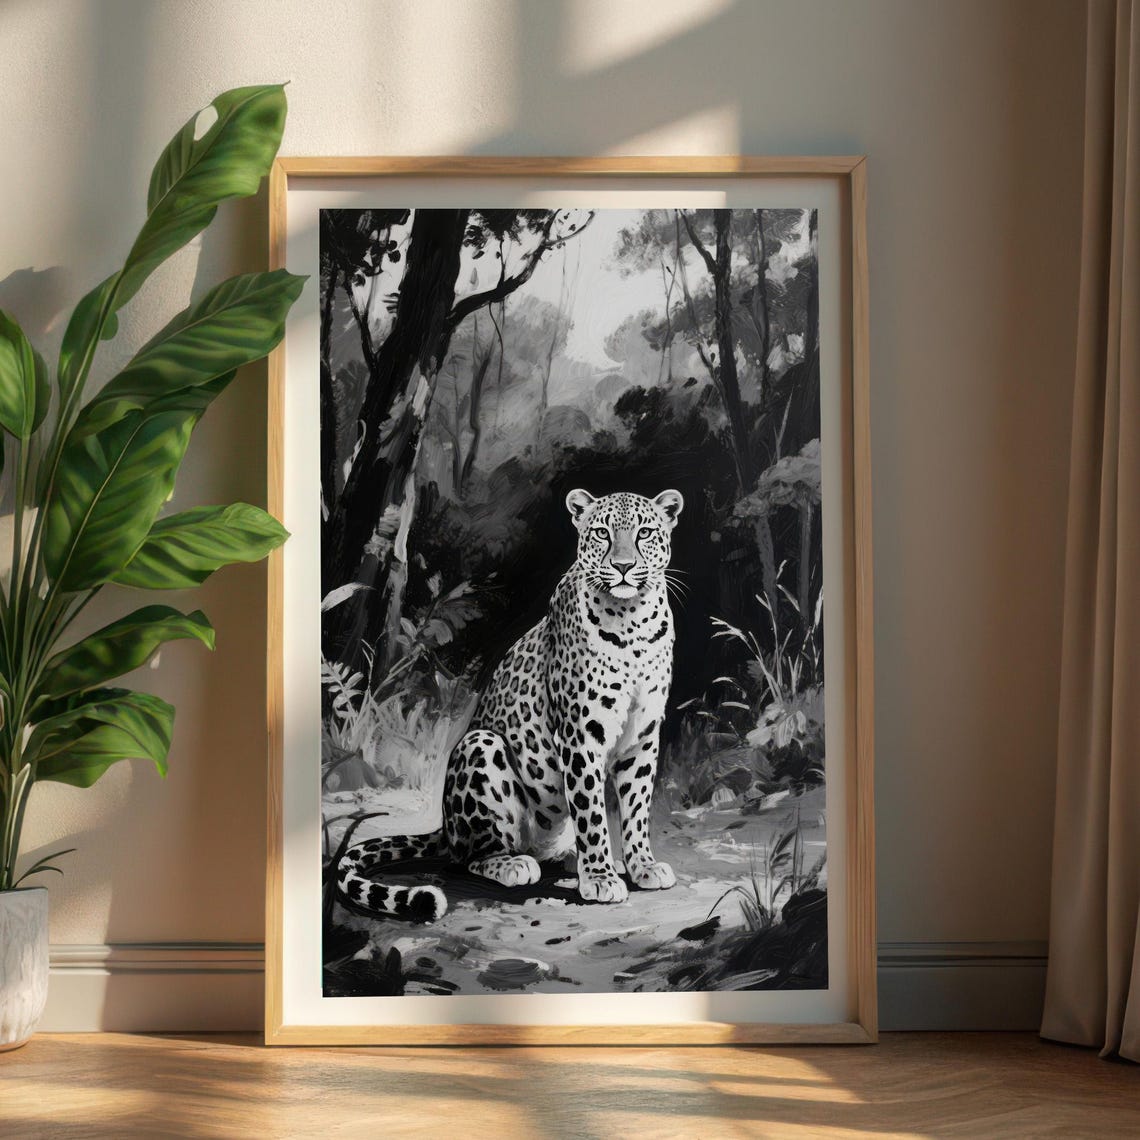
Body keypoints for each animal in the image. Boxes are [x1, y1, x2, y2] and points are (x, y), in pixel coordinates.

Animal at [336, 487, 684, 922]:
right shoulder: (580, 734)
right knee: (471, 855)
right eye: (602, 533)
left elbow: (636, 807)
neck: (632, 620)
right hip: (481, 746)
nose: (623, 567)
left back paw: (578, 858)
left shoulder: (643, 734)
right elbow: (590, 810)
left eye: (646, 533)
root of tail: (445, 826)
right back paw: (515, 864)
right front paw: (601, 878)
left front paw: (641, 865)